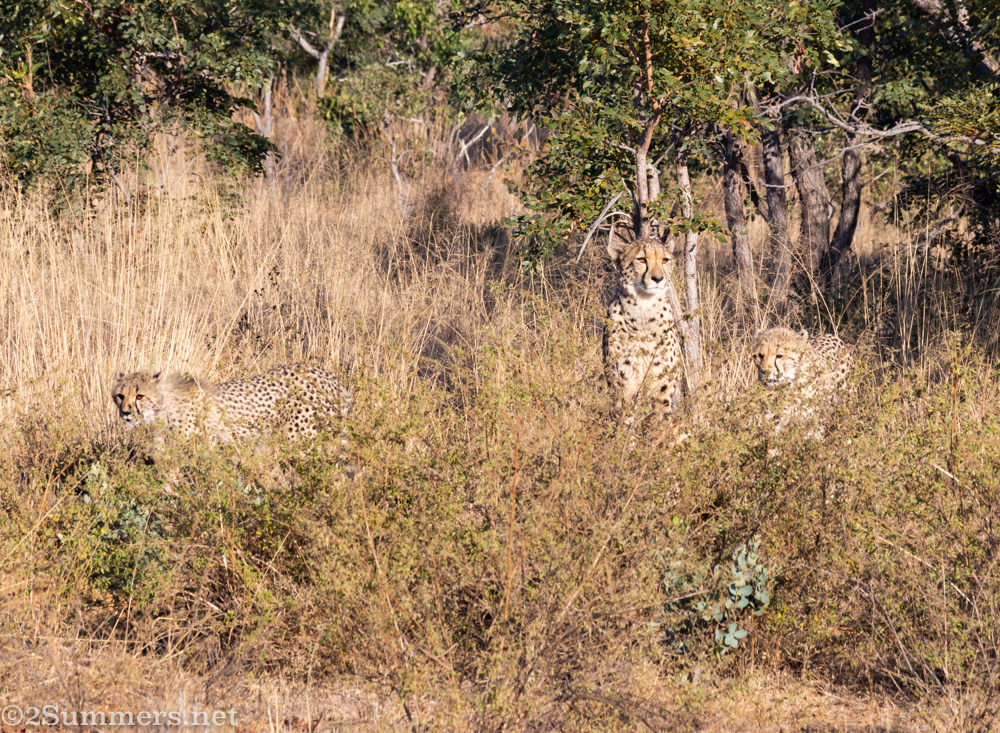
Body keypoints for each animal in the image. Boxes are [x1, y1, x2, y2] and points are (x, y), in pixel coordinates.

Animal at [602, 228, 682, 423]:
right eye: (641, 260)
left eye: (665, 260)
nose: (658, 278)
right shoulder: (624, 384)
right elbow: (625, 420)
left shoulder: (662, 389)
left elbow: (659, 422)